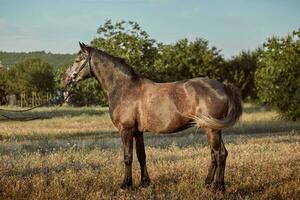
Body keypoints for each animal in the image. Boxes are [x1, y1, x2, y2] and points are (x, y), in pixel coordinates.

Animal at [62, 41, 243, 192]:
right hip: (213, 129)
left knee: (219, 154)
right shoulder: (137, 132)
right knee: (217, 154)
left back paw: (218, 187)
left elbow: (128, 157)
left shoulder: (126, 130)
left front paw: (126, 185)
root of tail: (223, 87)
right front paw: (144, 182)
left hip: (212, 130)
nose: (65, 79)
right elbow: (141, 156)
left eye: (77, 60)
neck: (125, 88)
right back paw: (207, 183)